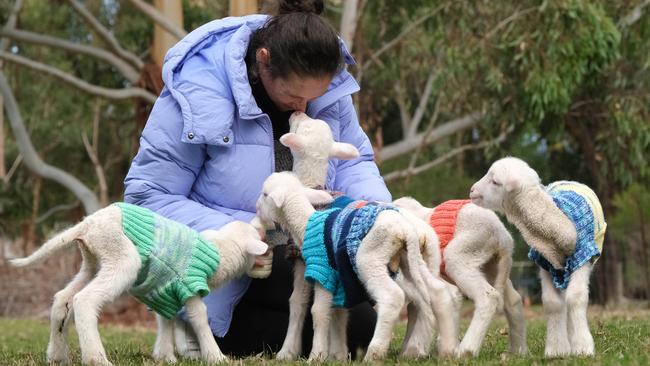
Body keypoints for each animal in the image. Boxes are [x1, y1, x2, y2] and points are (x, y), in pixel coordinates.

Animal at [8, 203, 266, 366]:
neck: (219, 252)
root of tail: (87, 225)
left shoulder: (165, 290)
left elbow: (165, 320)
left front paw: (165, 356)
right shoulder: (188, 284)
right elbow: (200, 317)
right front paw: (215, 356)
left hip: (93, 263)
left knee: (63, 299)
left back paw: (57, 355)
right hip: (121, 256)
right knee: (84, 300)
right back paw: (96, 358)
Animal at [253, 172, 456, 360]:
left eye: (264, 194)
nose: (255, 208)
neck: (306, 222)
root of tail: (407, 231)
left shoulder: (324, 273)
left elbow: (318, 312)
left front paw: (316, 356)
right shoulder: (341, 283)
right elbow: (338, 314)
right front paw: (338, 355)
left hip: (370, 258)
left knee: (393, 297)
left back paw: (375, 353)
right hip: (414, 261)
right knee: (437, 293)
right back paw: (445, 351)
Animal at [390, 196, 528, 356]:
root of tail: (502, 237)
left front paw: (415, 352)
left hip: (460, 256)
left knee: (489, 296)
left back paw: (466, 350)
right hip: (493, 267)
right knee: (514, 299)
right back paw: (518, 352)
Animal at [468, 157, 604, 358]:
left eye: (495, 182)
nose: (472, 190)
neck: (561, 229)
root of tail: (570, 180)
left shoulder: (583, 257)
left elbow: (576, 297)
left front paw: (582, 348)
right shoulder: (545, 261)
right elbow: (552, 303)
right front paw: (556, 350)